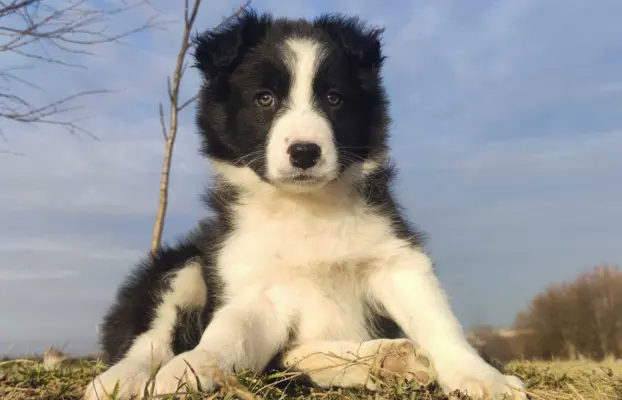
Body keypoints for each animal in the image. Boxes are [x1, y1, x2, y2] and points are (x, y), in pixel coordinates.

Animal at [85, 10, 528, 398]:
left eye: (334, 98)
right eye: (264, 98)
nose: (304, 152)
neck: (306, 206)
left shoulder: (395, 257)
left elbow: (438, 321)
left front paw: (483, 378)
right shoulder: (256, 286)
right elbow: (228, 333)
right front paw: (190, 368)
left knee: (292, 355)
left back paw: (382, 360)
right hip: (181, 264)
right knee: (150, 336)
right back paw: (120, 379)